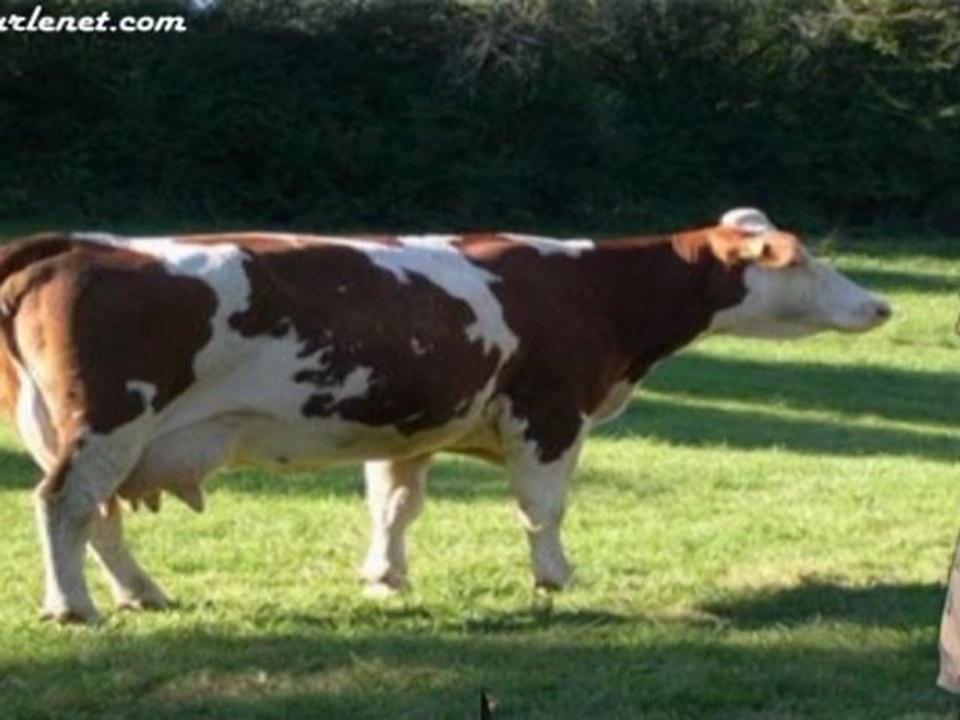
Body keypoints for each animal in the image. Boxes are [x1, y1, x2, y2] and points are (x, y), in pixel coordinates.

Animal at [0, 208, 891, 623]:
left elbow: (394, 506)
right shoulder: (549, 415)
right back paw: (71, 605)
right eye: (797, 258)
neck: (589, 289)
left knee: (99, 517)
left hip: (96, 434)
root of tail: (81, 242)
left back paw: (141, 592)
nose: (881, 305)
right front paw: (555, 576)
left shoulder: (411, 426)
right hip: (107, 424)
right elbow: (543, 508)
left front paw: (384, 576)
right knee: (63, 506)